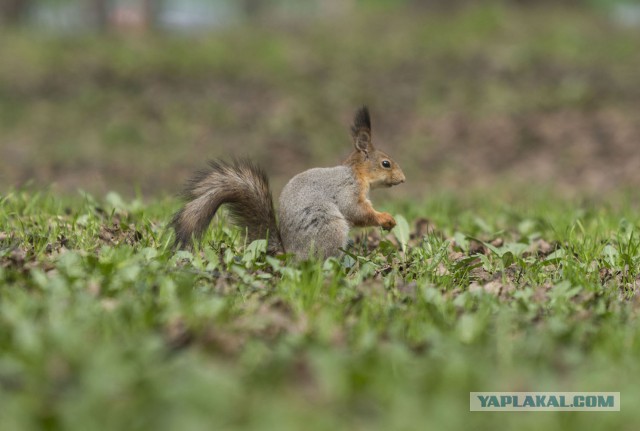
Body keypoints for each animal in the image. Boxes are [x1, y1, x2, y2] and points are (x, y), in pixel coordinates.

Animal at [171, 106, 404, 258]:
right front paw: (385, 218)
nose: (403, 179)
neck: (356, 173)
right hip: (330, 228)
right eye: (386, 163)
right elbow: (356, 211)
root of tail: (289, 252)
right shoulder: (347, 188)